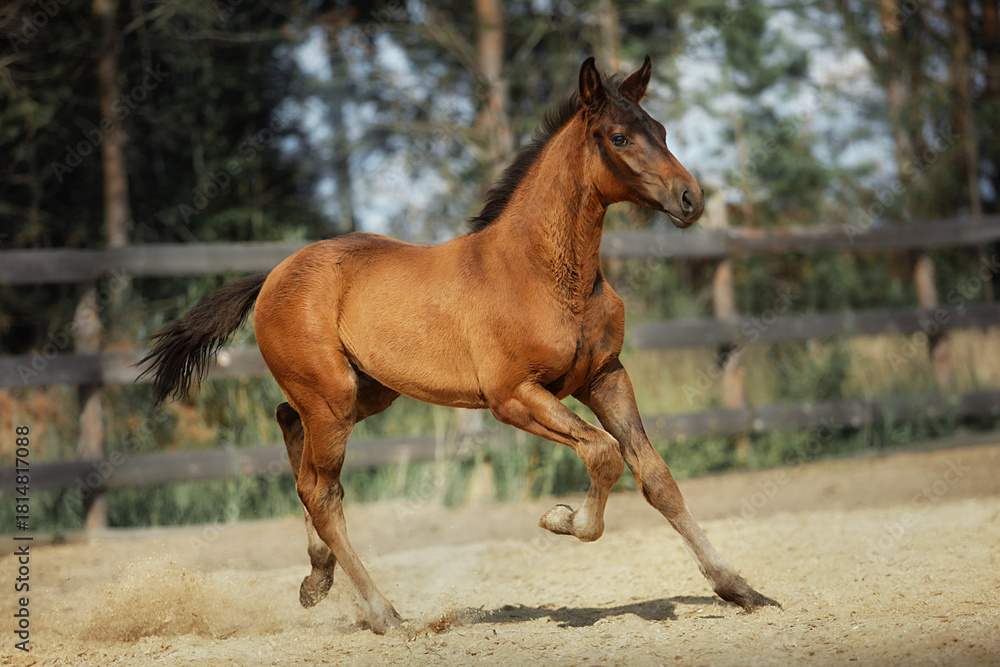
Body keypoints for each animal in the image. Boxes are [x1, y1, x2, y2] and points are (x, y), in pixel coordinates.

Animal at [139, 56, 780, 634]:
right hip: (332, 398)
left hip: (365, 394)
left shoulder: (605, 376)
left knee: (291, 436)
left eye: (662, 131)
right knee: (323, 493)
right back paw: (385, 615)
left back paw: (317, 579)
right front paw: (561, 518)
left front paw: (740, 588)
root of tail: (273, 273)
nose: (690, 198)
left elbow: (656, 476)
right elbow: (603, 453)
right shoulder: (512, 395)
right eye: (619, 136)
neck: (544, 273)